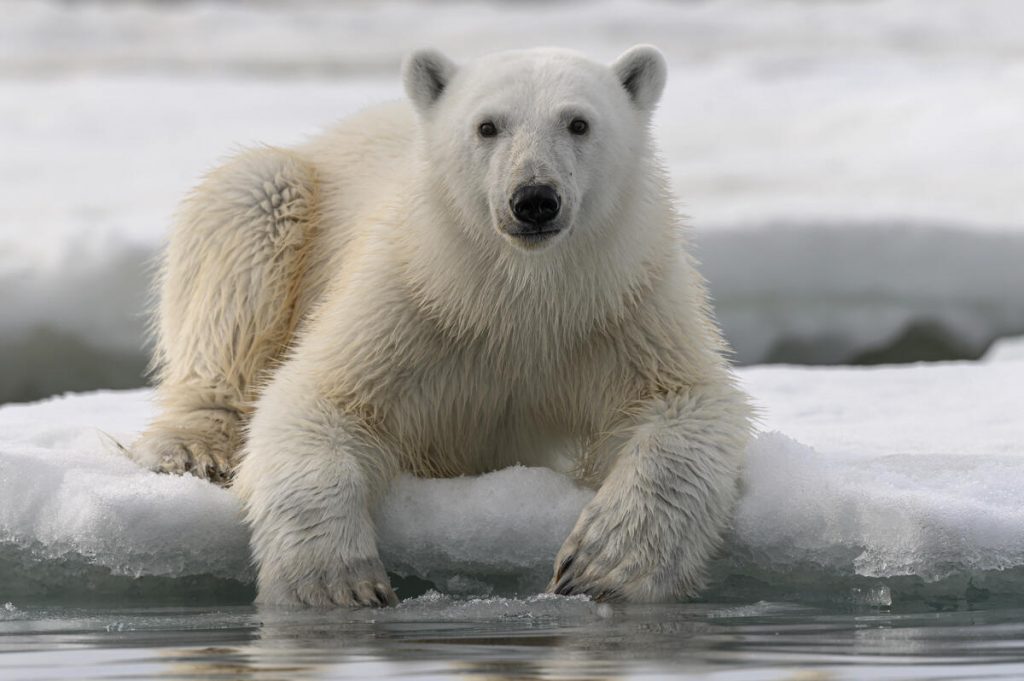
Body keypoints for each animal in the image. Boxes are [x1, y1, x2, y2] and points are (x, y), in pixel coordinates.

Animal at [130, 43, 753, 606]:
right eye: (487, 126)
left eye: (578, 122)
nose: (534, 198)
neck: (518, 299)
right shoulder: (412, 300)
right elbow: (316, 399)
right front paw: (337, 583)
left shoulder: (622, 306)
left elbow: (685, 403)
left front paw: (602, 568)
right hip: (281, 204)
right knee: (250, 206)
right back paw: (195, 448)